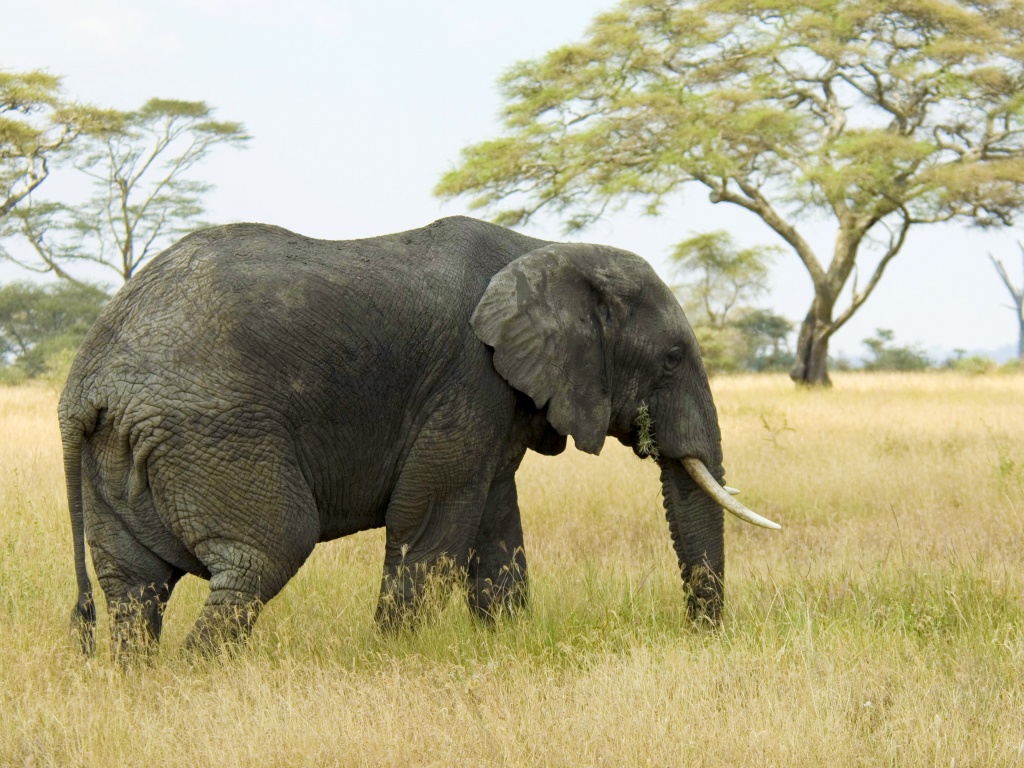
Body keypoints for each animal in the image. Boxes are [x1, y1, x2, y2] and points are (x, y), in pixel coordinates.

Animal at [59, 215, 778, 657]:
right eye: (672, 359)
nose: (701, 636)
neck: (547, 248)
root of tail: (86, 382)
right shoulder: (469, 379)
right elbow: (430, 519)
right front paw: (394, 655)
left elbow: (494, 523)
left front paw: (504, 645)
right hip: (214, 431)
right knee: (263, 555)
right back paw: (199, 678)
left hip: (121, 451)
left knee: (134, 587)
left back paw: (143, 682)